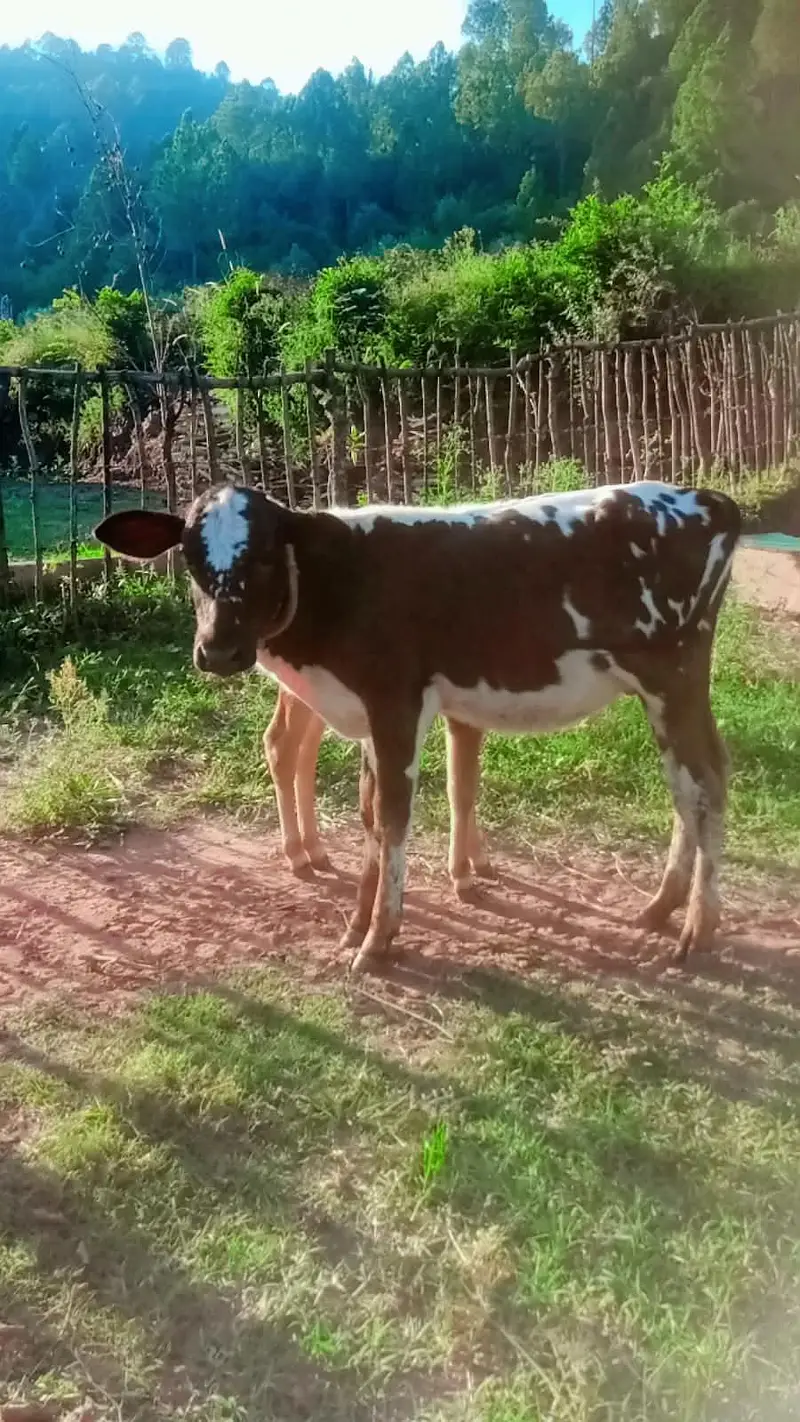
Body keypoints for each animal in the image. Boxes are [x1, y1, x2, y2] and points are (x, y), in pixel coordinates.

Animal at [95, 479, 741, 974]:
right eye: (190, 557)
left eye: (262, 556)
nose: (219, 650)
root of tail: (705, 498)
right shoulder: (367, 717)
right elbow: (369, 814)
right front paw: (357, 924)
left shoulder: (397, 703)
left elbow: (393, 815)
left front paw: (379, 942)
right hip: (665, 690)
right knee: (685, 785)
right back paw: (661, 908)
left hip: (673, 676)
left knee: (704, 781)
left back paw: (697, 929)